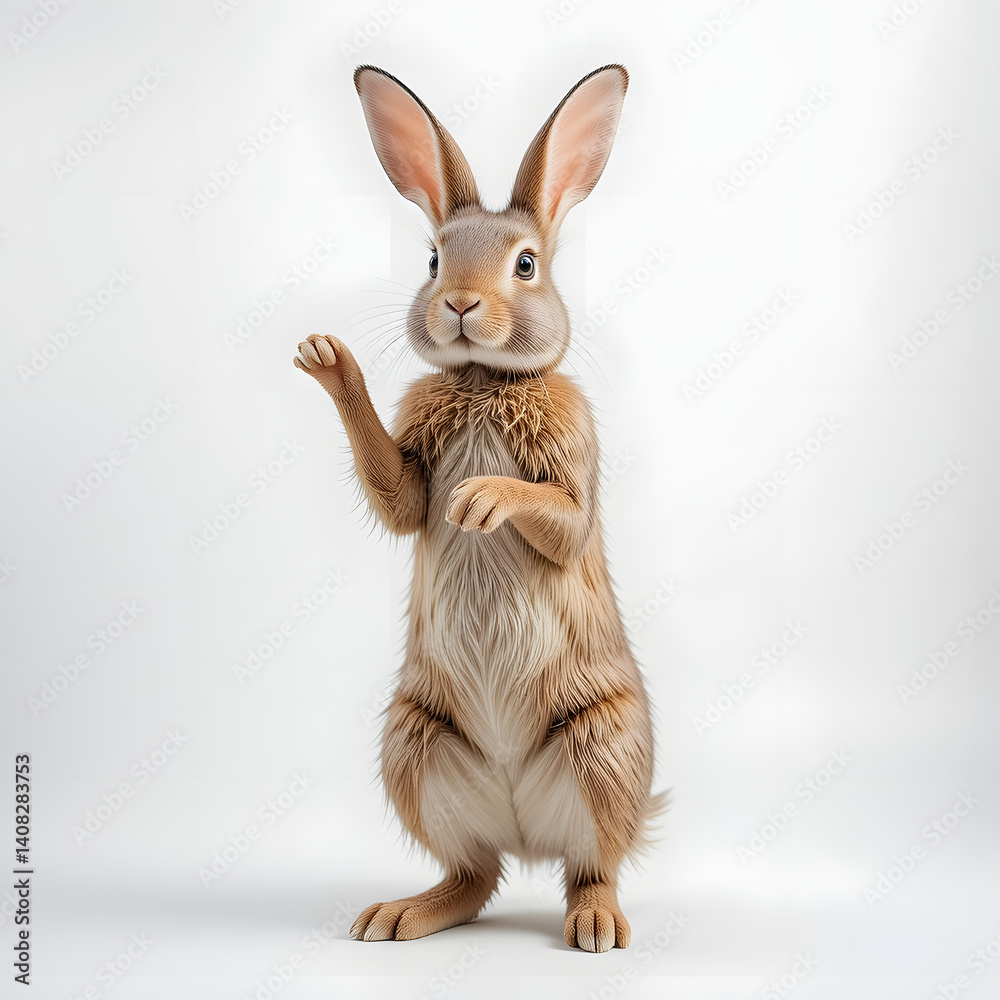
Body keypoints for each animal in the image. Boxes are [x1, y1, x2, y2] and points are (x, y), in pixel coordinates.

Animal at [294, 63, 663, 953]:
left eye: (525, 264)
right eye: (433, 258)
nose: (459, 304)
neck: (485, 380)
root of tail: (527, 830)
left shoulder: (573, 468)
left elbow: (561, 519)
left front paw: (482, 498)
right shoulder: (406, 475)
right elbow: (398, 498)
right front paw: (327, 360)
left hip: (602, 748)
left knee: (590, 865)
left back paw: (596, 926)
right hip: (416, 742)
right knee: (475, 875)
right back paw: (397, 916)